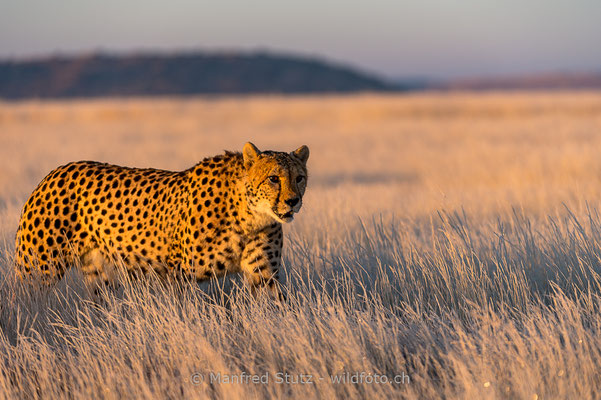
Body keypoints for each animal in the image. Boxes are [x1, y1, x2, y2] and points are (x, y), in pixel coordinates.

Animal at [14, 142, 310, 298]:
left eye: (299, 178)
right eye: (273, 178)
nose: (293, 201)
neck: (250, 215)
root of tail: (56, 171)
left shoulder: (264, 276)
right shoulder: (181, 275)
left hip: (99, 275)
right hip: (38, 270)